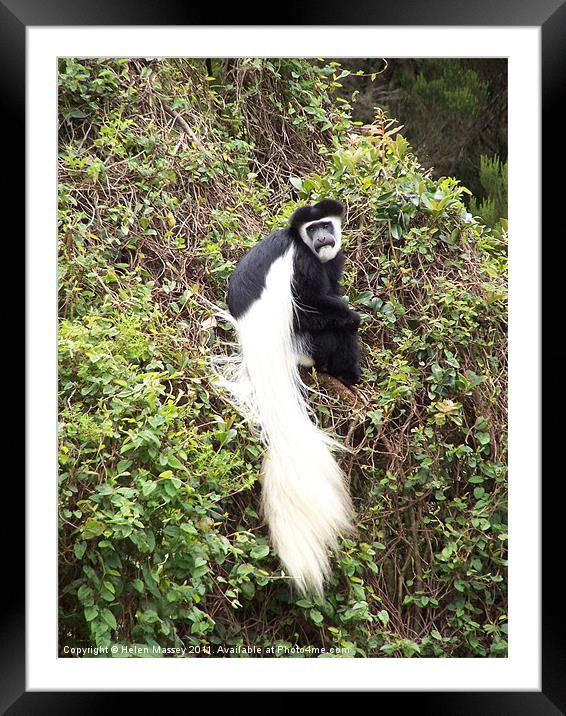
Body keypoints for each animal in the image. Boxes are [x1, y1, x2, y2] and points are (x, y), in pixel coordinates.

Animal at [224, 199, 362, 596]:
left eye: (325, 225)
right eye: (312, 228)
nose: (323, 238)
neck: (300, 243)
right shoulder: (303, 263)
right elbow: (314, 302)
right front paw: (353, 314)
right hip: (301, 340)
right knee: (326, 327)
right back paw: (349, 371)